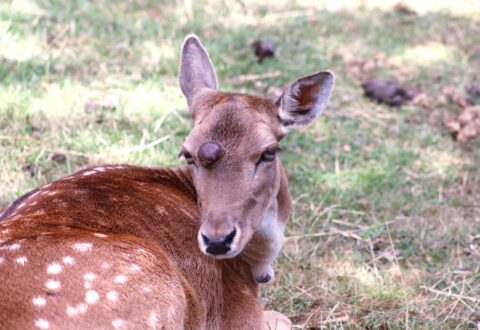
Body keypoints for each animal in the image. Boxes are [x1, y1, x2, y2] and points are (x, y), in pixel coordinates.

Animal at [0, 34, 334, 328]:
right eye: (187, 153)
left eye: (269, 151)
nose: (217, 240)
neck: (255, 264)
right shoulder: (238, 314)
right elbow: (283, 319)